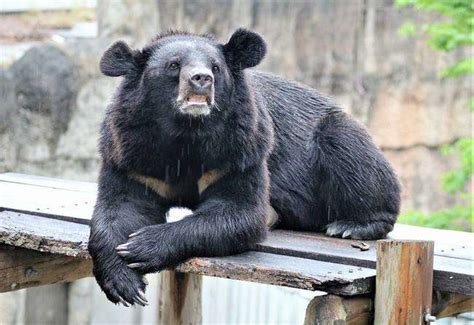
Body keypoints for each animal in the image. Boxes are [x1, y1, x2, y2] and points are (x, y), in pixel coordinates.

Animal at [88, 27, 400, 304]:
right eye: (173, 65)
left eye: (215, 67)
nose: (201, 79)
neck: (186, 134)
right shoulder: (130, 154)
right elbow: (120, 209)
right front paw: (123, 282)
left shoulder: (240, 151)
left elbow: (240, 211)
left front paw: (143, 246)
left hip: (334, 138)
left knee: (348, 152)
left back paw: (351, 226)